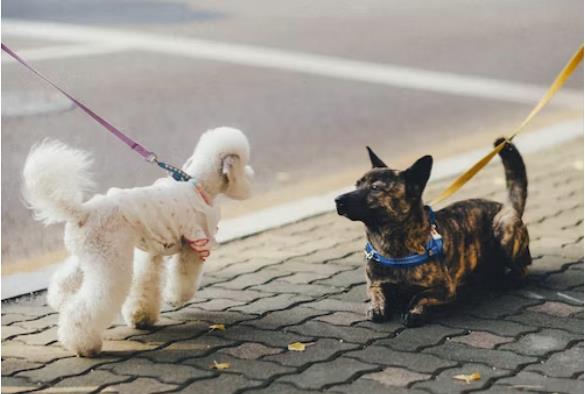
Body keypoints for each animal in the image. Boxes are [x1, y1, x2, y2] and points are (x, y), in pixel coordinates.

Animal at [334, 139, 528, 326]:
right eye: (356, 185)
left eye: (375, 188)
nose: (337, 200)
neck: (390, 243)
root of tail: (508, 207)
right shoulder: (374, 283)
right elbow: (376, 293)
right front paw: (376, 307)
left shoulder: (445, 288)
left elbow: (420, 295)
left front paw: (414, 311)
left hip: (504, 228)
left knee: (521, 270)